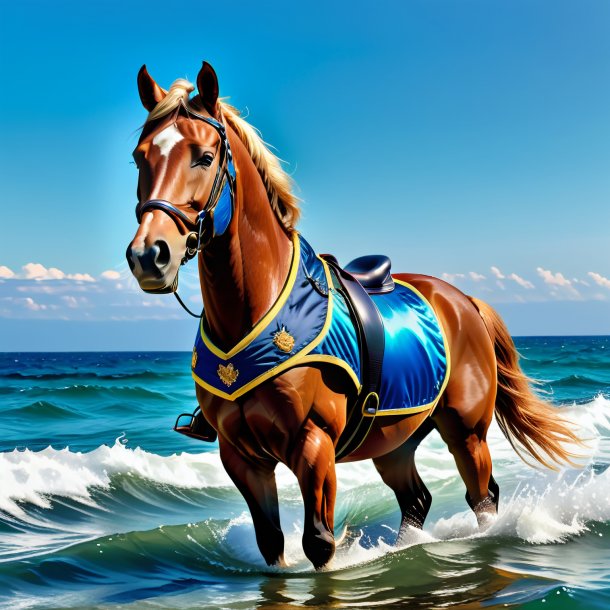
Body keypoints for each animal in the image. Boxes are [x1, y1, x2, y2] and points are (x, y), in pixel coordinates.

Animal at [126, 60, 576, 564]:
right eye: (140, 158)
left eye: (204, 157)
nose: (149, 255)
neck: (251, 313)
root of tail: (464, 303)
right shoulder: (241, 458)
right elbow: (271, 543)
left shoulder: (314, 445)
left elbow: (318, 542)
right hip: (395, 439)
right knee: (417, 499)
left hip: (466, 434)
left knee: (483, 499)